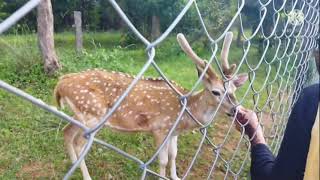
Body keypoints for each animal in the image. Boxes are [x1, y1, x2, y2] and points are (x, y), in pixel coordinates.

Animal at [53, 31, 248, 179]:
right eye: (216, 92)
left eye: (234, 90)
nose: (235, 109)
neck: (186, 114)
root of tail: (61, 83)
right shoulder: (160, 128)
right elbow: (163, 160)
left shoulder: (173, 132)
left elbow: (174, 154)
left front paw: (175, 176)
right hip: (93, 113)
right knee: (78, 142)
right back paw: (86, 176)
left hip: (81, 114)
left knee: (67, 132)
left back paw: (74, 165)